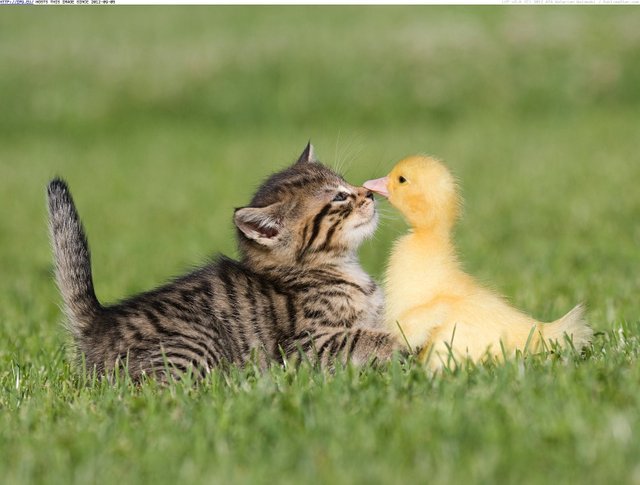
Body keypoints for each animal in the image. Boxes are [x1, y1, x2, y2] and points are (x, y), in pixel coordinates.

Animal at [47, 144, 402, 378]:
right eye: (339, 197)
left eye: (347, 182)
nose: (369, 193)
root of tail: (100, 322)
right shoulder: (308, 346)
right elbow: (369, 337)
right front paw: (407, 344)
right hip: (194, 345)